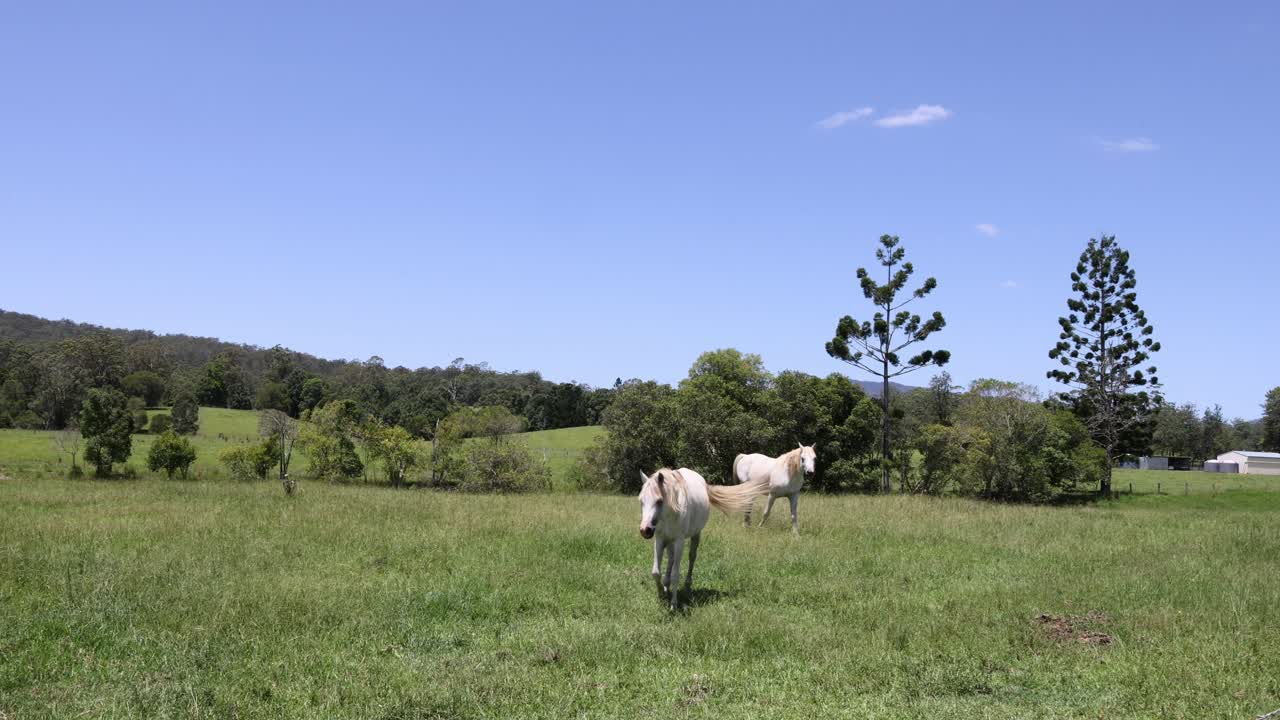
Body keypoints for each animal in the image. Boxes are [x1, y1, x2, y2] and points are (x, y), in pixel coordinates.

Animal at [637, 468, 766, 609]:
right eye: (641, 501)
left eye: (659, 501)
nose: (645, 530)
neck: (669, 513)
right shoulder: (660, 539)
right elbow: (656, 572)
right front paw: (661, 593)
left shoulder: (679, 541)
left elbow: (676, 574)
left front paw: (673, 604)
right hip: (669, 540)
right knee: (670, 559)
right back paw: (666, 586)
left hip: (695, 535)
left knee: (692, 557)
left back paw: (687, 585)